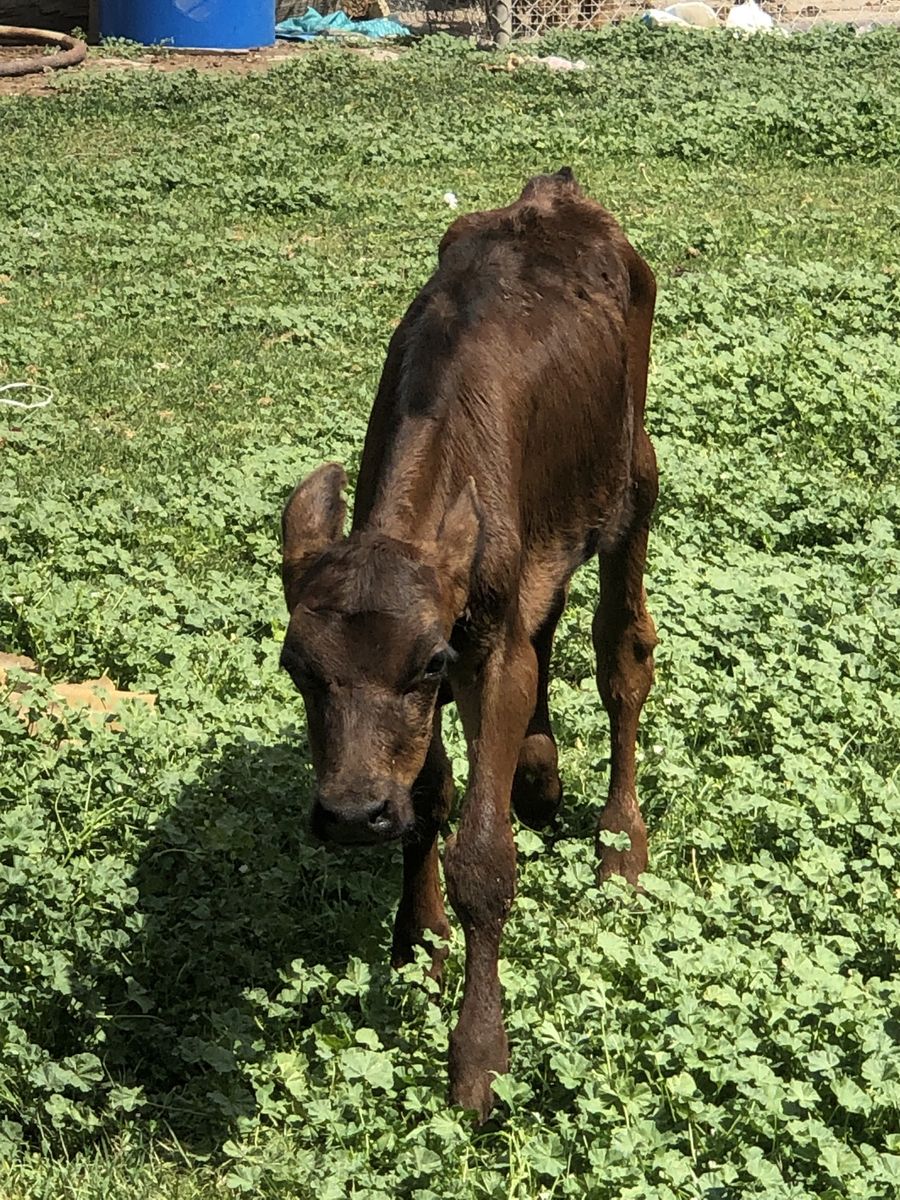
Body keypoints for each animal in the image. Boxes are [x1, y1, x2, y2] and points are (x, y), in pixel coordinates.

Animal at [279, 168, 657, 1120]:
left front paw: (479, 1058)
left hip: (634, 472)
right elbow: (429, 795)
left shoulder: (481, 653)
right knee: (550, 624)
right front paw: (418, 942)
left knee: (623, 655)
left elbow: (483, 855)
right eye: (297, 669)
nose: (350, 815)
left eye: (428, 663)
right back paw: (540, 769)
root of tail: (559, 190)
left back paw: (619, 844)